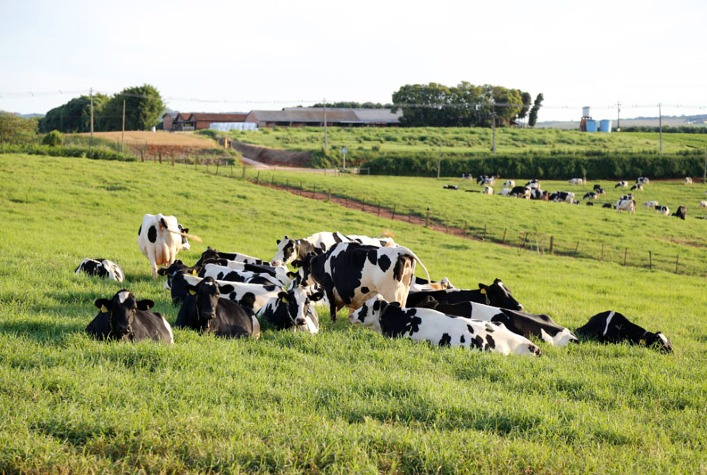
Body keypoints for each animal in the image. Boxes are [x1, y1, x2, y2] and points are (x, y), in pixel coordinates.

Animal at [302, 244, 432, 322]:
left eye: (303, 267)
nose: (302, 282)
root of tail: (399, 251)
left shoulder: (330, 288)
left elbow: (333, 310)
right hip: (403, 293)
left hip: (391, 293)